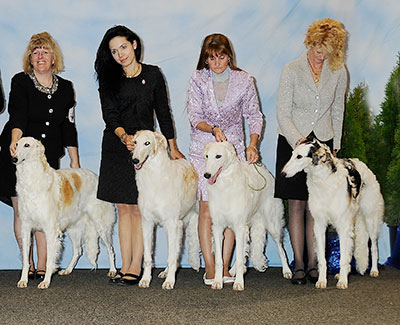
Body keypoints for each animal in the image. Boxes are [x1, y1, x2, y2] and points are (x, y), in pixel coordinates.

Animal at [13, 135, 117, 288]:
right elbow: (26, 260)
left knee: (111, 249)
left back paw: (113, 270)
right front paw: (23, 280)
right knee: (78, 250)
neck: (32, 180)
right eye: (16, 144)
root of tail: (96, 177)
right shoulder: (26, 228)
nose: (13, 158)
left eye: (27, 145)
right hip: (74, 228)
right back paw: (67, 270)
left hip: (100, 225)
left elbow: (49, 260)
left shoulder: (50, 230)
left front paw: (46, 281)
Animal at [131, 129, 200, 288]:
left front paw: (170, 281)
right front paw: (145, 279)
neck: (154, 178)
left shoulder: (172, 223)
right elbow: (148, 257)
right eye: (135, 142)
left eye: (147, 143)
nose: (134, 160)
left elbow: (171, 256)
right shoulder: (147, 223)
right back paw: (166, 272)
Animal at [203, 140, 290, 290]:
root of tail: (264, 170)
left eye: (218, 156)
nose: (206, 175)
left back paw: (287, 271)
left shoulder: (239, 226)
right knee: (243, 252)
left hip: (272, 224)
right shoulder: (218, 227)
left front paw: (238, 283)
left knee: (281, 249)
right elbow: (220, 260)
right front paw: (217, 282)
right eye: (207, 156)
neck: (225, 186)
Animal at [282, 139, 382, 288]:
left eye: (299, 156)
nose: (282, 174)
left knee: (374, 247)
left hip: (370, 218)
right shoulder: (319, 224)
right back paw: (343, 273)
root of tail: (364, 165)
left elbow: (342, 258)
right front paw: (322, 281)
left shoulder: (342, 225)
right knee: (351, 249)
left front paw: (343, 282)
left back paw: (374, 270)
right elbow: (323, 259)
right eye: (292, 154)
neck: (323, 180)